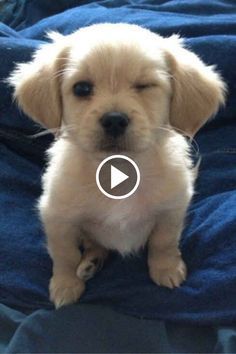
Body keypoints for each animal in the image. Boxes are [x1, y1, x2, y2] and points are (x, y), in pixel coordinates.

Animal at [8, 23, 227, 308]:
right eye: (82, 89)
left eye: (144, 86)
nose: (114, 119)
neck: (120, 168)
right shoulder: (57, 217)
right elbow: (64, 254)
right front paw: (66, 285)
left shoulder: (172, 209)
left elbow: (164, 242)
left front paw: (166, 268)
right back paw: (90, 262)